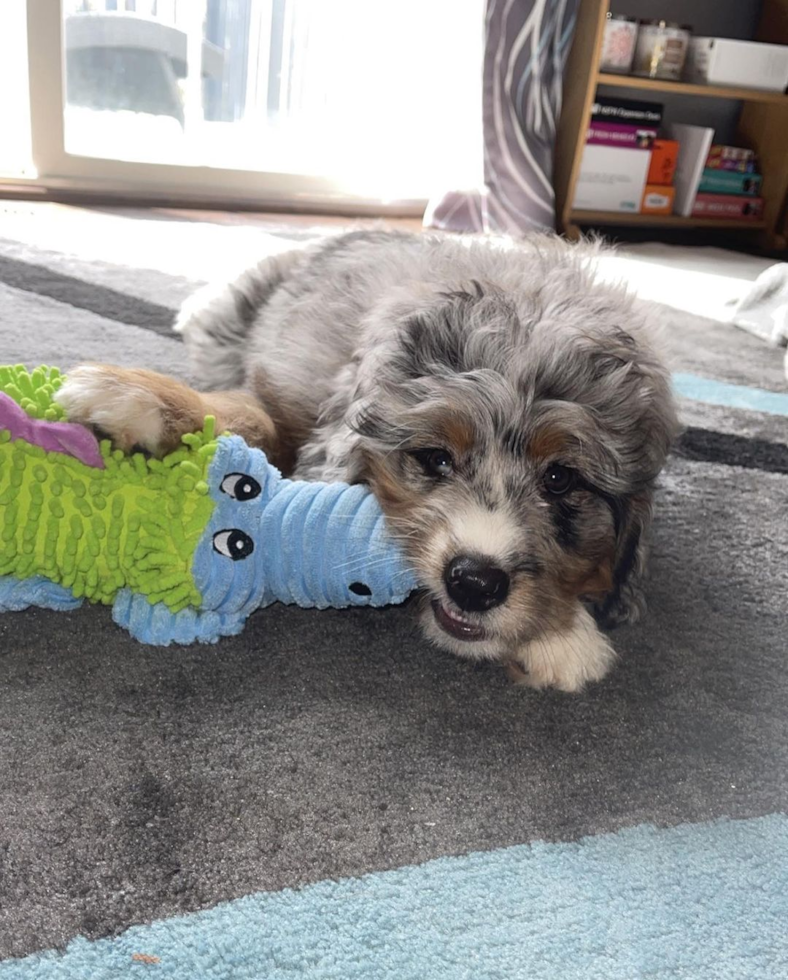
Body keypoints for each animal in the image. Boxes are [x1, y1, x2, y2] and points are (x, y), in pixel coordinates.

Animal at [58, 229, 680, 688]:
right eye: (434, 458)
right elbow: (253, 417)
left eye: (559, 478)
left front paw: (562, 635)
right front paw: (134, 400)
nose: (474, 584)